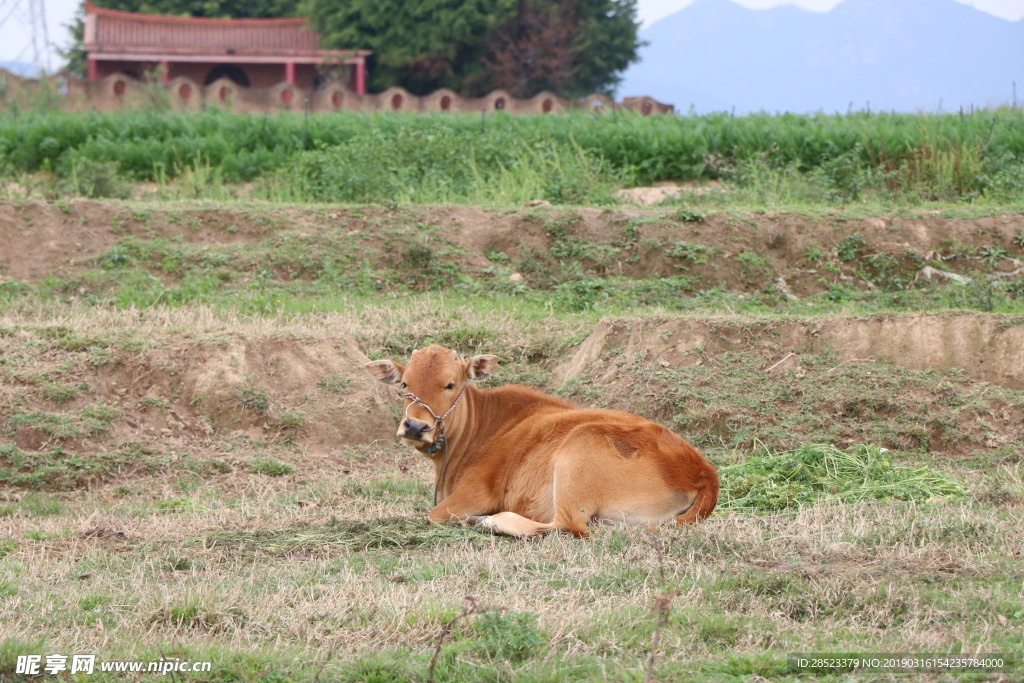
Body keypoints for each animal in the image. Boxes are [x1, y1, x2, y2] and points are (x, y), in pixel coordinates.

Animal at [368, 344, 720, 536]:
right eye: (404, 384)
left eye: (450, 384)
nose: (415, 426)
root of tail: (703, 472)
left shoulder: (476, 491)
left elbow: (433, 515)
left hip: (578, 453)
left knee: (568, 527)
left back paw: (489, 521)